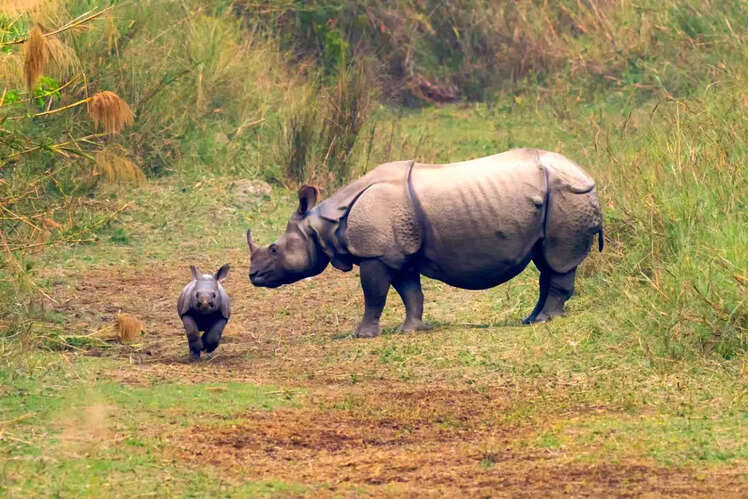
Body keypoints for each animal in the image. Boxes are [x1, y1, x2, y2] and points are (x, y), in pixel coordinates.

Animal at [246, 148, 603, 337]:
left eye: (275, 249)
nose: (253, 277)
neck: (325, 224)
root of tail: (587, 175)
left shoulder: (376, 254)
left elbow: (374, 295)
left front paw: (363, 335)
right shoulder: (398, 254)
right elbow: (411, 293)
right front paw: (411, 329)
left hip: (568, 196)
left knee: (558, 260)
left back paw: (544, 320)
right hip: (557, 200)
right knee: (545, 260)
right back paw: (530, 319)